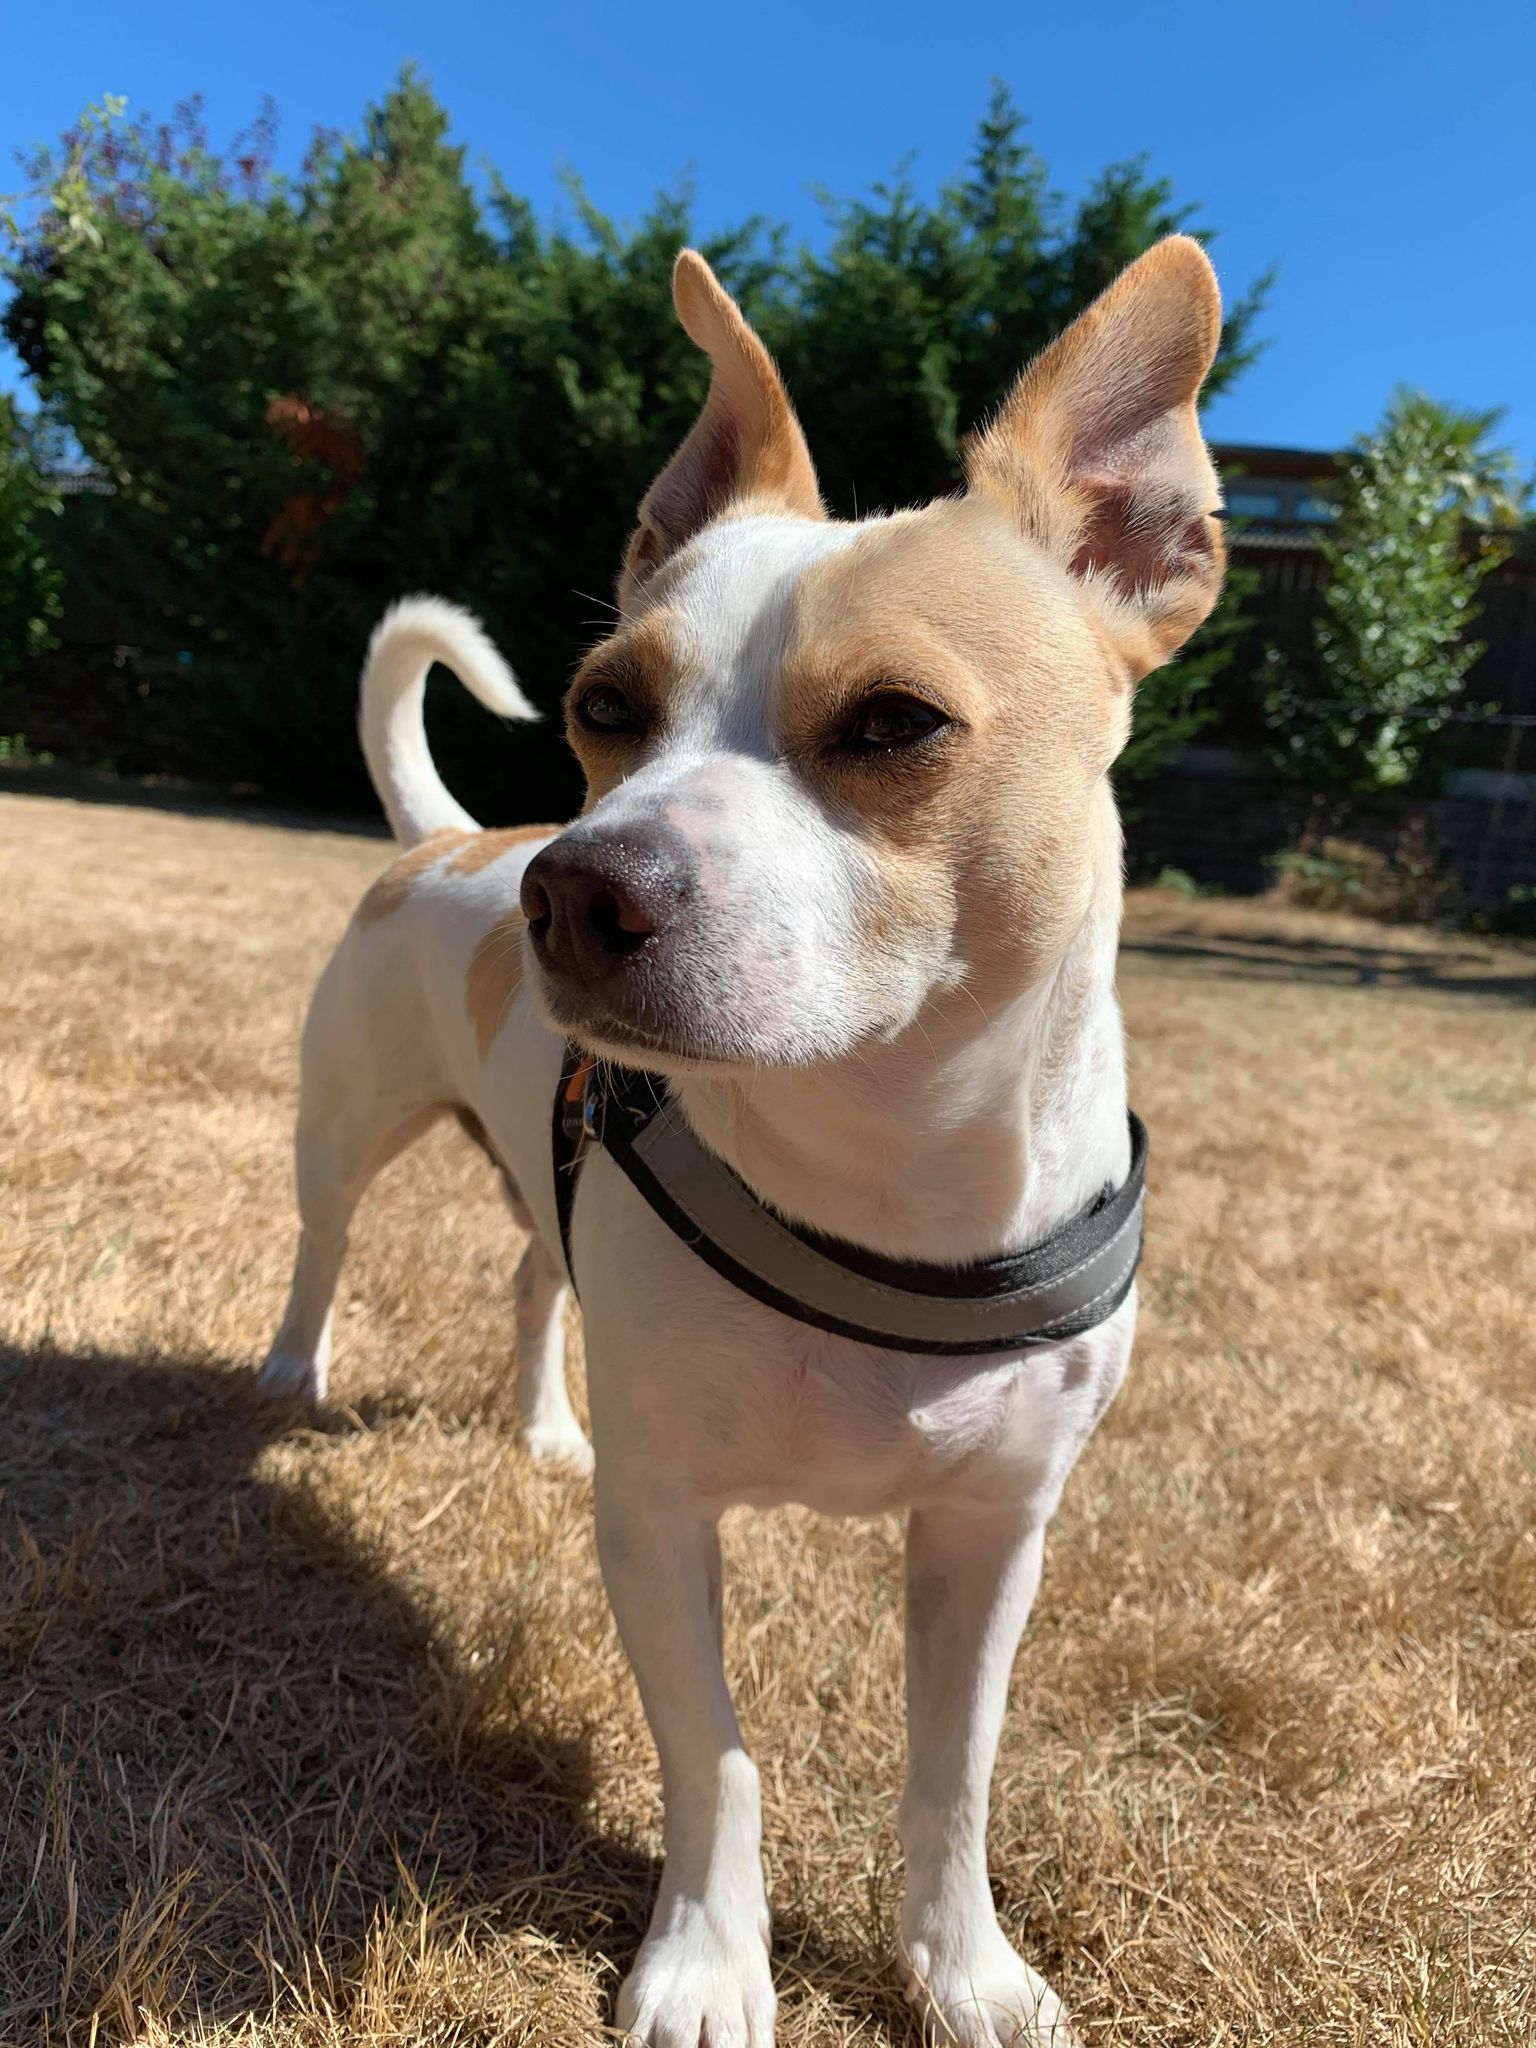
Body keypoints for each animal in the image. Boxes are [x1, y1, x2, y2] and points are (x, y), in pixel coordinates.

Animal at [262, 232, 1228, 2039]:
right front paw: (709, 1962)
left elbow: (954, 1772)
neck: (885, 1170)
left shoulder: (994, 1533)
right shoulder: (662, 1520)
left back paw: (538, 1421)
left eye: (898, 722)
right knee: (324, 1239)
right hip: (342, 1124)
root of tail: (447, 836)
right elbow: (714, 1754)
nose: (571, 886)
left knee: (534, 1283)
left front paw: (963, 1965)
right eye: (602, 703)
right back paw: (293, 1367)